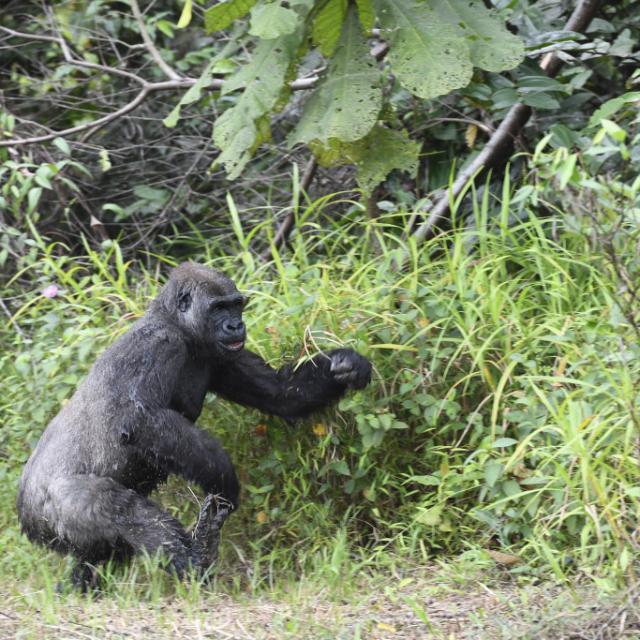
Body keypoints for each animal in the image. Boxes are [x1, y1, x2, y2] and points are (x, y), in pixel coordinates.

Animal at [16, 262, 370, 592]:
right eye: (218, 308)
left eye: (237, 305)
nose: (236, 324)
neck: (177, 324)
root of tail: (24, 515)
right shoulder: (159, 344)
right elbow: (137, 419)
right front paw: (224, 476)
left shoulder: (222, 356)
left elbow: (281, 392)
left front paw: (349, 365)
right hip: (53, 509)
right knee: (123, 512)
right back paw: (194, 564)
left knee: (102, 550)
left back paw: (81, 585)